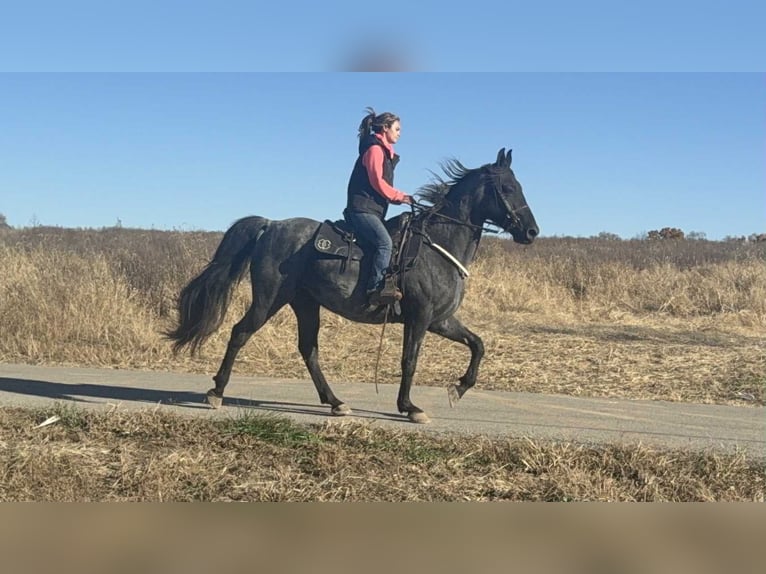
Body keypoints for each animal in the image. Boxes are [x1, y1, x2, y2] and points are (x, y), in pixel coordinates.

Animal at [166, 148, 538, 423]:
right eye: (507, 188)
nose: (532, 232)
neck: (438, 245)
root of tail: (270, 225)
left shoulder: (441, 320)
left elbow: (478, 345)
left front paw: (458, 388)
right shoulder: (419, 318)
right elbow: (410, 361)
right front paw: (410, 407)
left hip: (305, 303)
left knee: (309, 349)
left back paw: (334, 401)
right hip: (269, 299)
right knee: (240, 333)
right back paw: (216, 393)